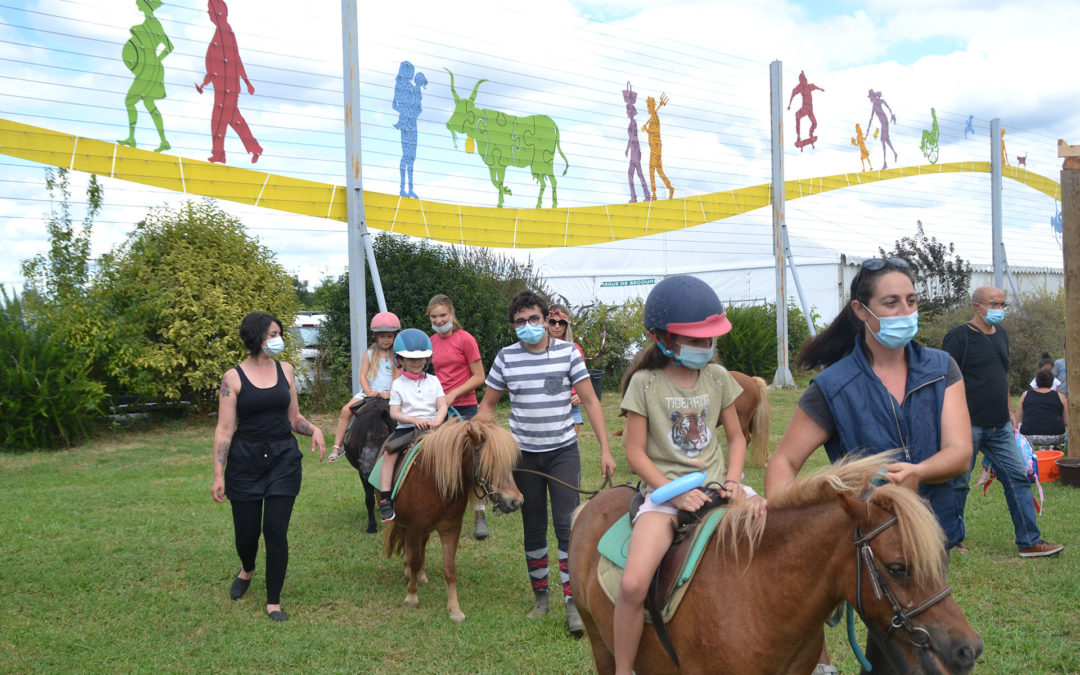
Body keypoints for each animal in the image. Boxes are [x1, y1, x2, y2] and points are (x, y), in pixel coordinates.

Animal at [384, 416, 522, 622]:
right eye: (490, 464)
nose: (516, 501)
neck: (433, 482)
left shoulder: (450, 529)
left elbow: (449, 569)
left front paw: (454, 610)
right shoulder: (414, 527)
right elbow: (413, 560)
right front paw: (412, 597)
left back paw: (421, 575)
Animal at [570, 453, 984, 673]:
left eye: (941, 561)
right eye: (898, 567)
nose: (969, 648)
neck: (761, 596)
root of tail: (593, 501)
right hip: (601, 641)